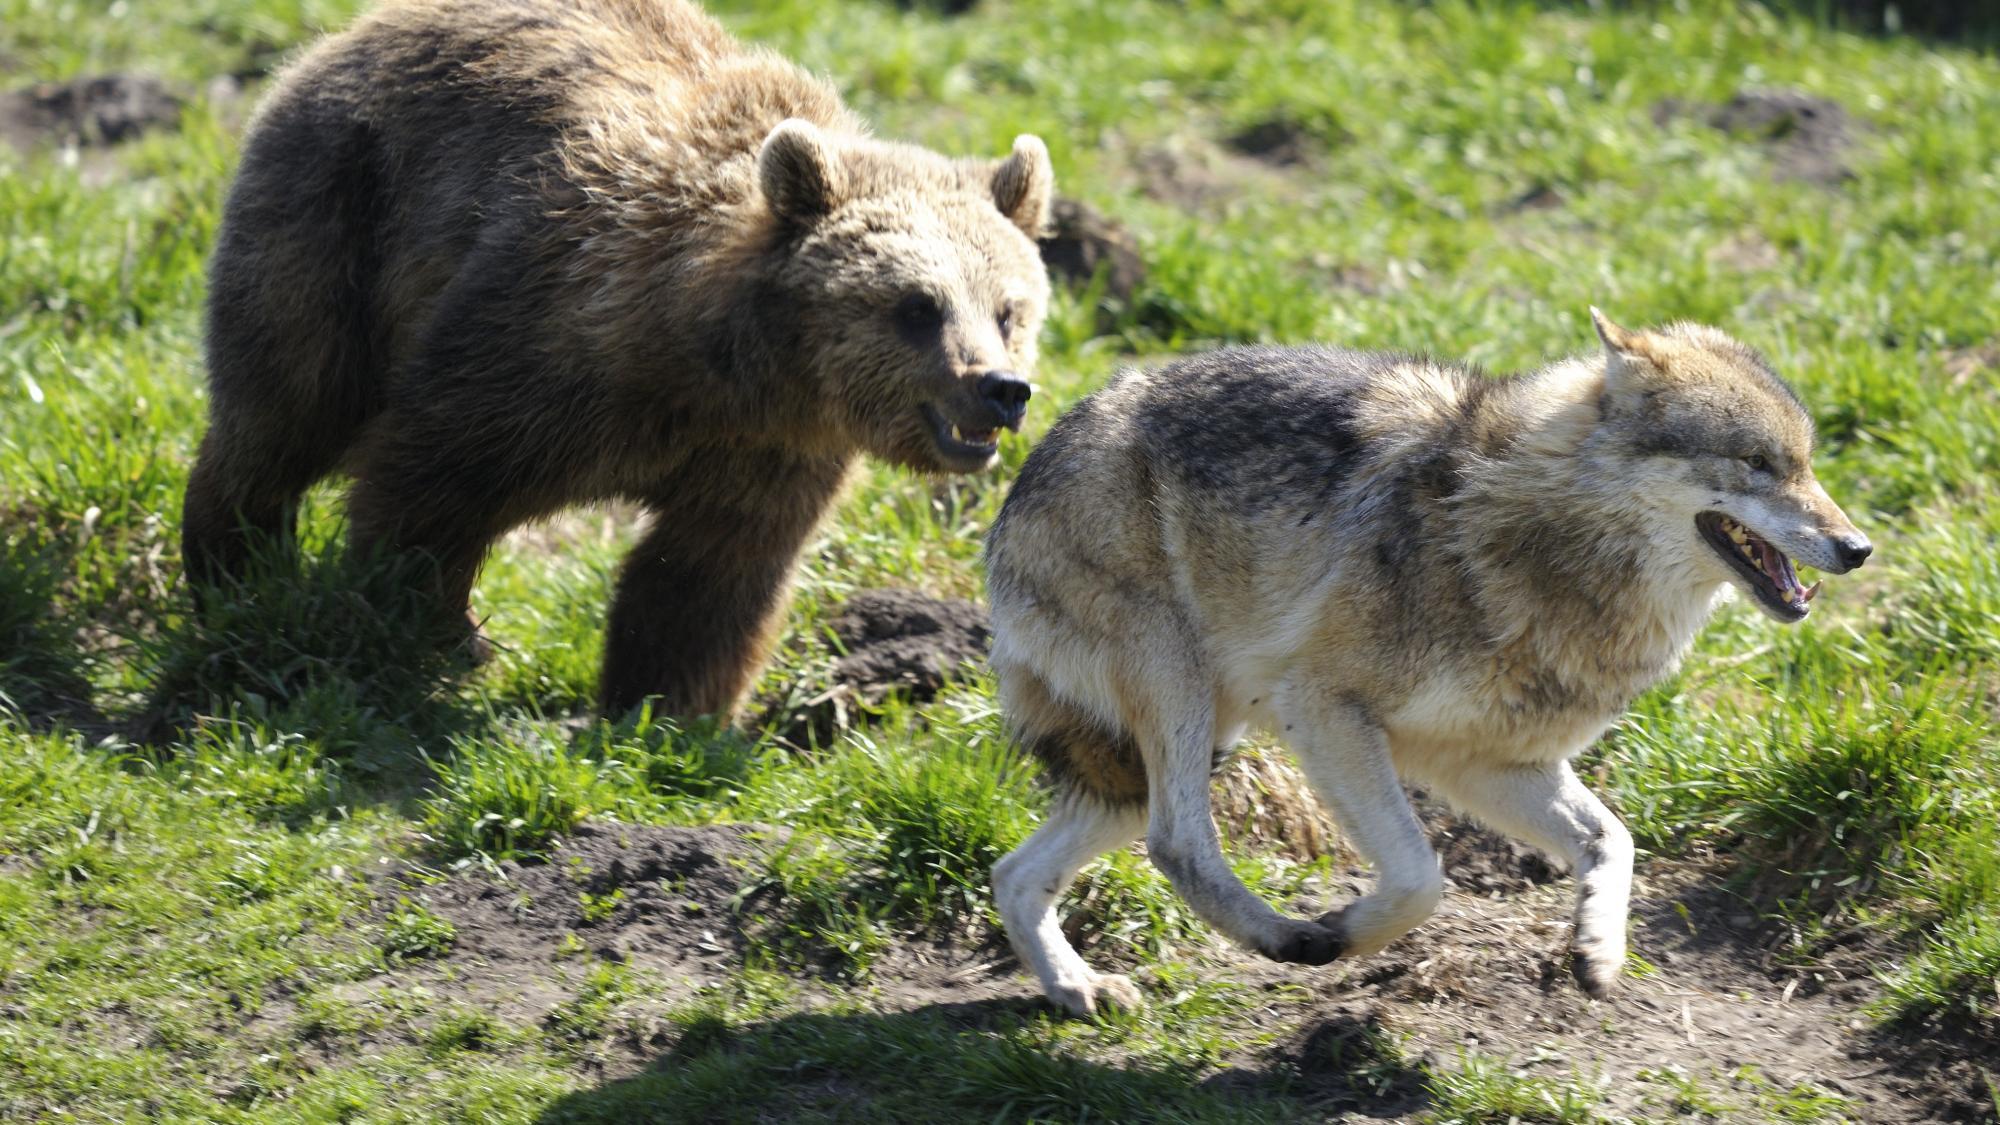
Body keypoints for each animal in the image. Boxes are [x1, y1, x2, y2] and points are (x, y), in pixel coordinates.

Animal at [181, 0, 1054, 718]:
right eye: (917, 306)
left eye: (1008, 310)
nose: (1000, 389)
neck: (722, 365)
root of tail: (347, 35)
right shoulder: (539, 348)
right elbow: (427, 483)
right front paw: (430, 634)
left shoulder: (770, 451)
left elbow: (708, 574)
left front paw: (669, 708)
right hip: (342, 215)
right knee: (288, 405)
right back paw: (238, 569)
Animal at [985, 310, 1871, 1016]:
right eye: (1757, 464)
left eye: (1806, 464)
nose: (1858, 548)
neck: (1533, 540)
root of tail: (1032, 462)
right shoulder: (1325, 708)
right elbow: (1421, 873)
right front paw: (1348, 932)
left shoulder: (1484, 761)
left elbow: (1614, 839)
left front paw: (1597, 947)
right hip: (1179, 693)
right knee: (1177, 842)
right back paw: (1286, 937)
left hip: (1176, 748)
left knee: (1015, 871)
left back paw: (1075, 986)